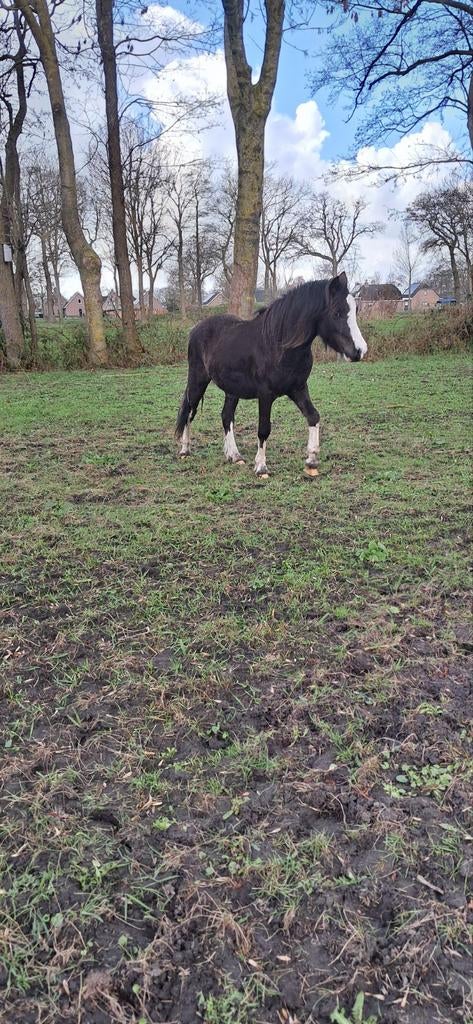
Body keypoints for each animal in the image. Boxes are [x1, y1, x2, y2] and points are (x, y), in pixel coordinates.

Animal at [175, 272, 367, 478]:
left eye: (355, 310)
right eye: (337, 312)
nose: (359, 351)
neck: (279, 345)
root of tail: (196, 329)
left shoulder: (298, 389)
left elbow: (313, 416)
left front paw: (312, 461)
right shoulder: (265, 395)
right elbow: (264, 429)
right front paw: (261, 467)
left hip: (232, 390)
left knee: (226, 417)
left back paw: (235, 456)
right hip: (198, 381)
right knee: (189, 411)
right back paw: (185, 451)